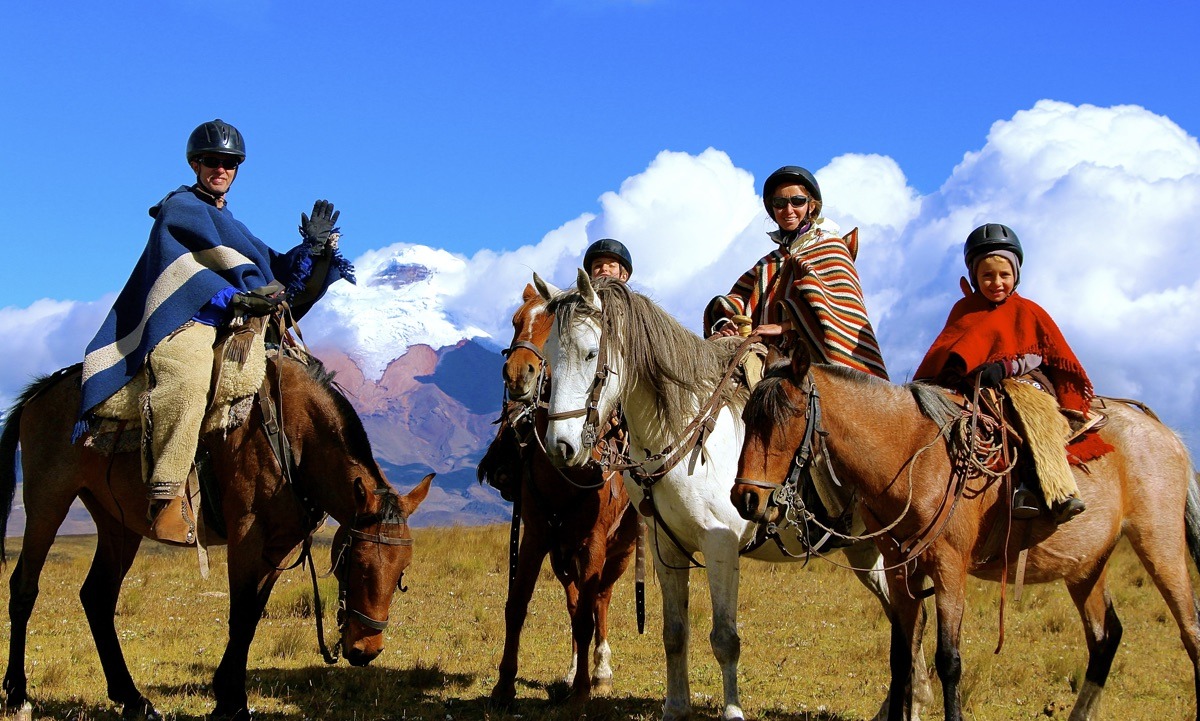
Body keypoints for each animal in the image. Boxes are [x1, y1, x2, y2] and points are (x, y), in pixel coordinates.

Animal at [0, 352, 432, 719]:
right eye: (356, 563)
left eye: (402, 572)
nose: (365, 650)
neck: (295, 438)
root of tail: (42, 391)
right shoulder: (246, 536)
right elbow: (240, 615)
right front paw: (232, 703)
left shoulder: (280, 545)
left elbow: (253, 615)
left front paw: (226, 693)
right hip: (48, 501)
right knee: (24, 588)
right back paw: (19, 695)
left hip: (116, 522)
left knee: (97, 596)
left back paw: (134, 699)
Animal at [475, 284, 638, 705]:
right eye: (516, 320)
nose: (518, 373)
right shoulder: (536, 535)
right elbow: (517, 605)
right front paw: (504, 686)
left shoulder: (594, 542)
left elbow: (587, 615)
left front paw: (582, 691)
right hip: (563, 553)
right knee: (576, 599)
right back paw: (573, 669)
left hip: (620, 550)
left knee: (600, 601)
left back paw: (599, 672)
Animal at [537, 268, 936, 719]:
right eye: (549, 353)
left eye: (590, 354)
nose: (560, 446)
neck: (684, 430)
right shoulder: (665, 548)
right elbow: (674, 633)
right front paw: (676, 707)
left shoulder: (720, 544)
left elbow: (725, 638)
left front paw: (732, 711)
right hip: (867, 553)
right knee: (907, 617)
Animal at [724, 345, 1200, 715]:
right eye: (747, 416)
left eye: (788, 415)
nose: (746, 499)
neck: (912, 457)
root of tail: (1166, 433)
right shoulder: (900, 570)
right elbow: (900, 657)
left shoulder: (949, 569)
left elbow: (948, 660)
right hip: (1087, 564)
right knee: (1105, 637)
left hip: (1159, 546)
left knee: (1190, 629)